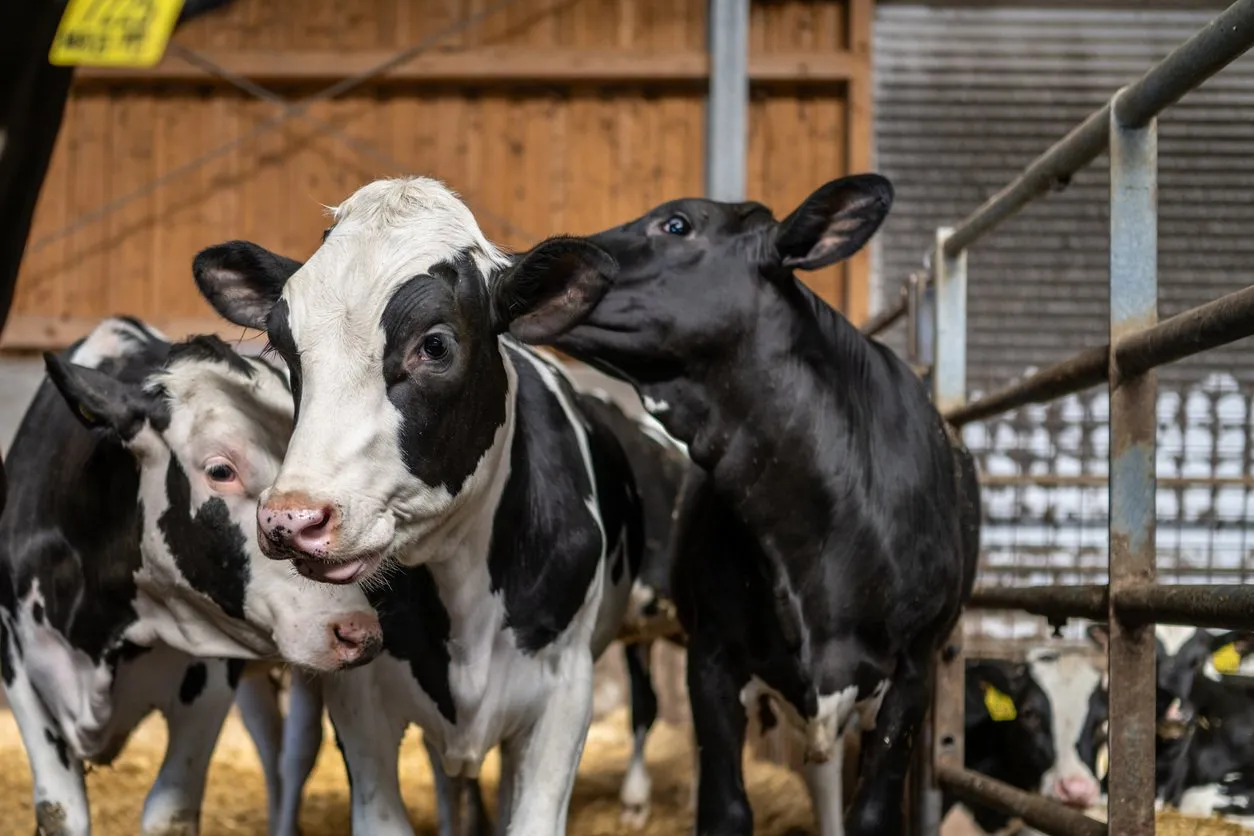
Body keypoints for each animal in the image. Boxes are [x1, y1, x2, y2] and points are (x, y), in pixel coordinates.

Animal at [0, 316, 381, 836]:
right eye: (220, 470)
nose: (358, 632)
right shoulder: (18, 670)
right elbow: (61, 811)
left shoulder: (211, 681)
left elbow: (170, 812)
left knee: (295, 752)